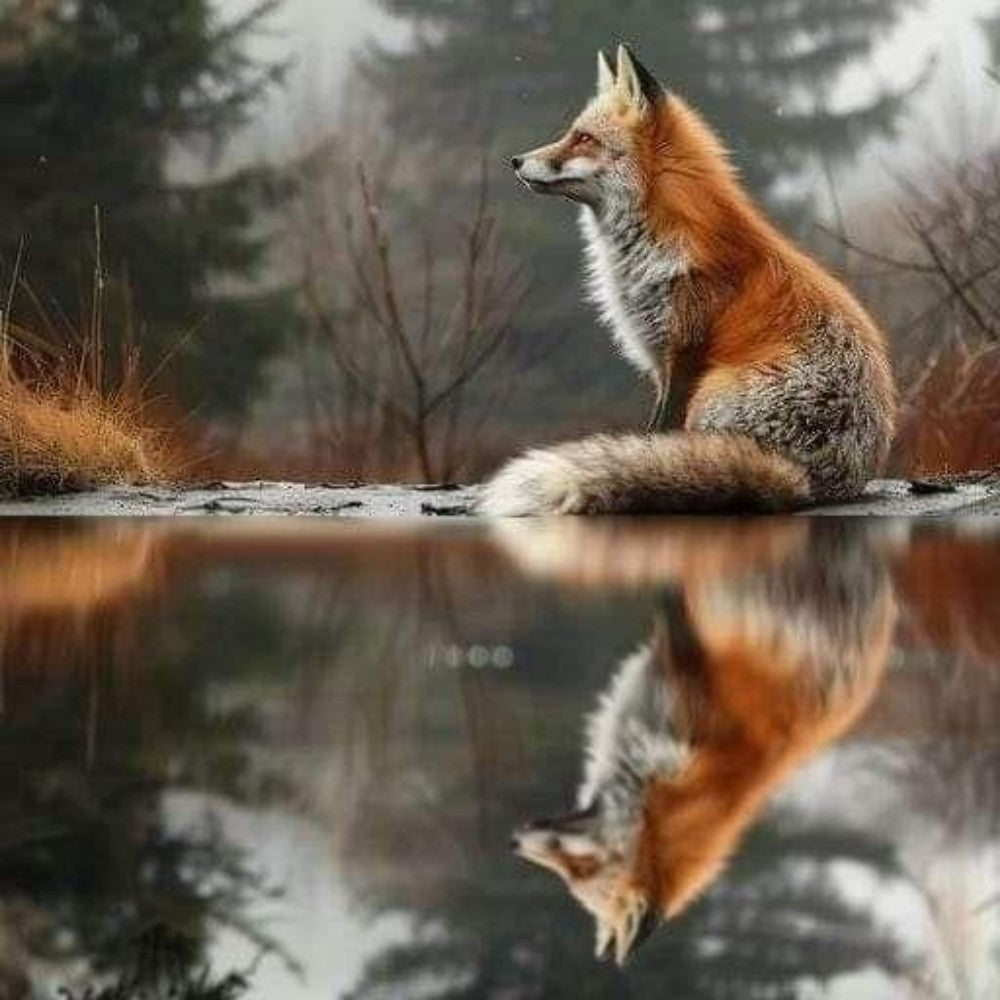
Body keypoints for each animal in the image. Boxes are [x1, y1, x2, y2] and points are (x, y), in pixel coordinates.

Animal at [480, 44, 896, 515]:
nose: (515, 161)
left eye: (583, 138)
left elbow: (656, 434)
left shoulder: (684, 351)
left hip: (709, 391)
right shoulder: (659, 360)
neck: (658, 245)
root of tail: (809, 481)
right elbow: (651, 433)